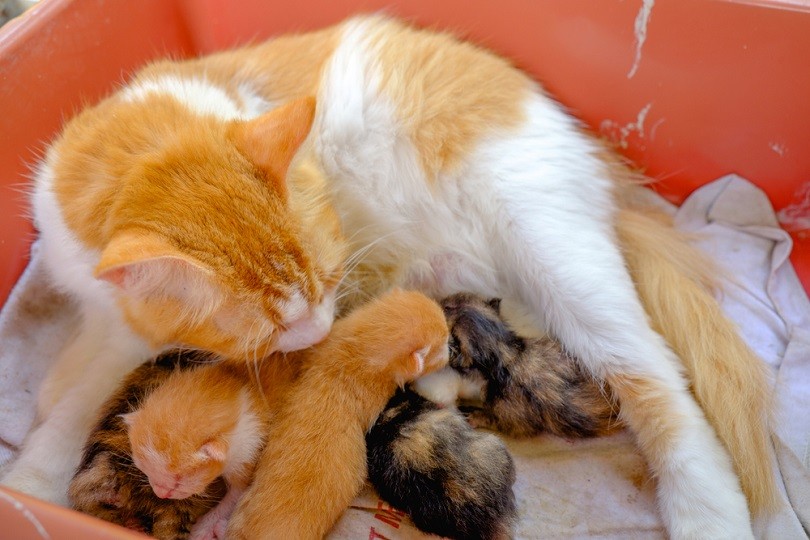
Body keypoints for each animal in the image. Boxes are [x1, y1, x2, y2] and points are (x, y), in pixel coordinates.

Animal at [416, 292, 620, 438]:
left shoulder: (512, 414)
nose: (434, 298)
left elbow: (501, 421)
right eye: (451, 301)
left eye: (446, 308)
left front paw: (473, 415)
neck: (507, 353)